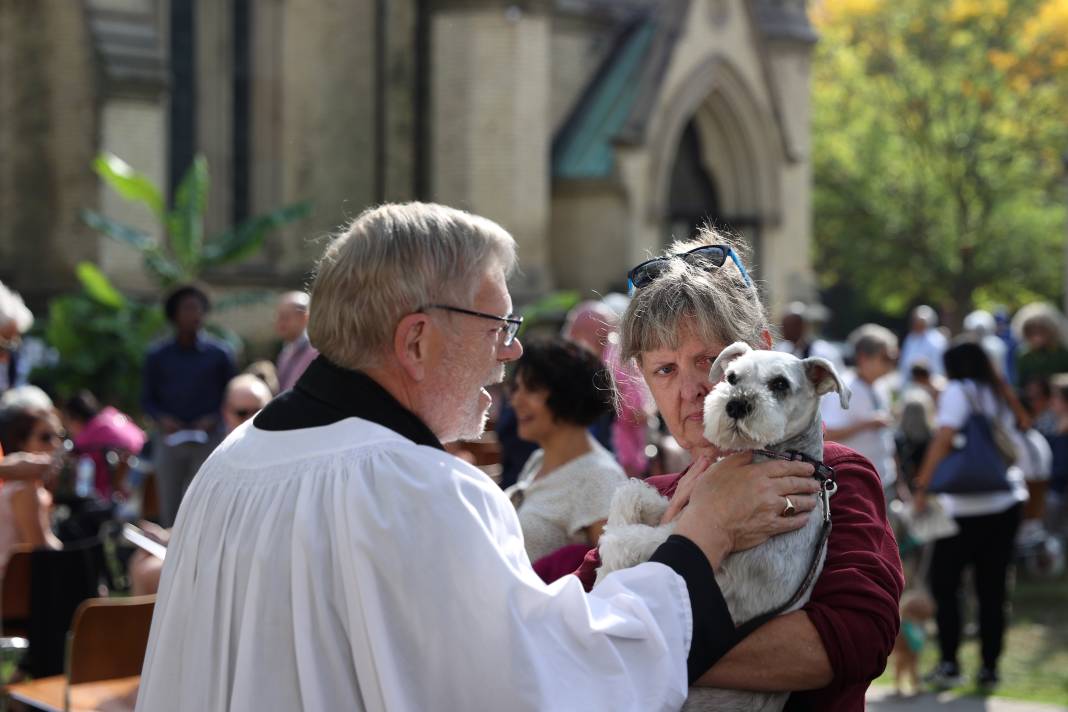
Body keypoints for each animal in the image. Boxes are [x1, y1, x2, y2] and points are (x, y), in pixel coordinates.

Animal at [598, 341, 845, 708]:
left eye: (780, 384)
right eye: (731, 377)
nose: (736, 403)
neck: (776, 453)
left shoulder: (685, 539)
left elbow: (627, 542)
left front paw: (606, 561)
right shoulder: (684, 508)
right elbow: (636, 494)